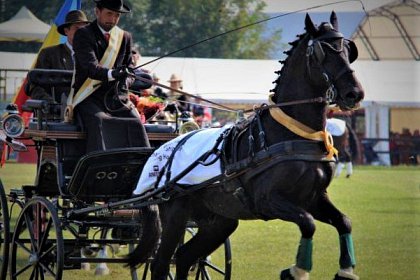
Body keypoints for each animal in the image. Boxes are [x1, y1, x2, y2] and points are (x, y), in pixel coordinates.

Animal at [128, 12, 364, 280]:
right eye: (323, 52)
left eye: (348, 50)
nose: (354, 93)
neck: (293, 133)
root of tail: (161, 152)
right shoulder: (269, 200)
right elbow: (308, 223)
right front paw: (297, 271)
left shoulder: (314, 198)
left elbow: (344, 221)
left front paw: (346, 270)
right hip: (175, 215)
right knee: (160, 263)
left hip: (219, 220)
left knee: (186, 256)